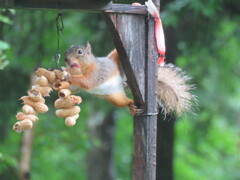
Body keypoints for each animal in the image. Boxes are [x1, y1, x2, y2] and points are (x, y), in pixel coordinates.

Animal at [64, 41, 196, 116]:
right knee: (124, 102)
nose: (66, 59)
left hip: (115, 59)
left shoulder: (97, 72)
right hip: (115, 98)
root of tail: (122, 82)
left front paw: (69, 76)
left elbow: (87, 81)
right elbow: (75, 88)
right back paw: (131, 105)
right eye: (66, 51)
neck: (82, 69)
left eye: (79, 52)